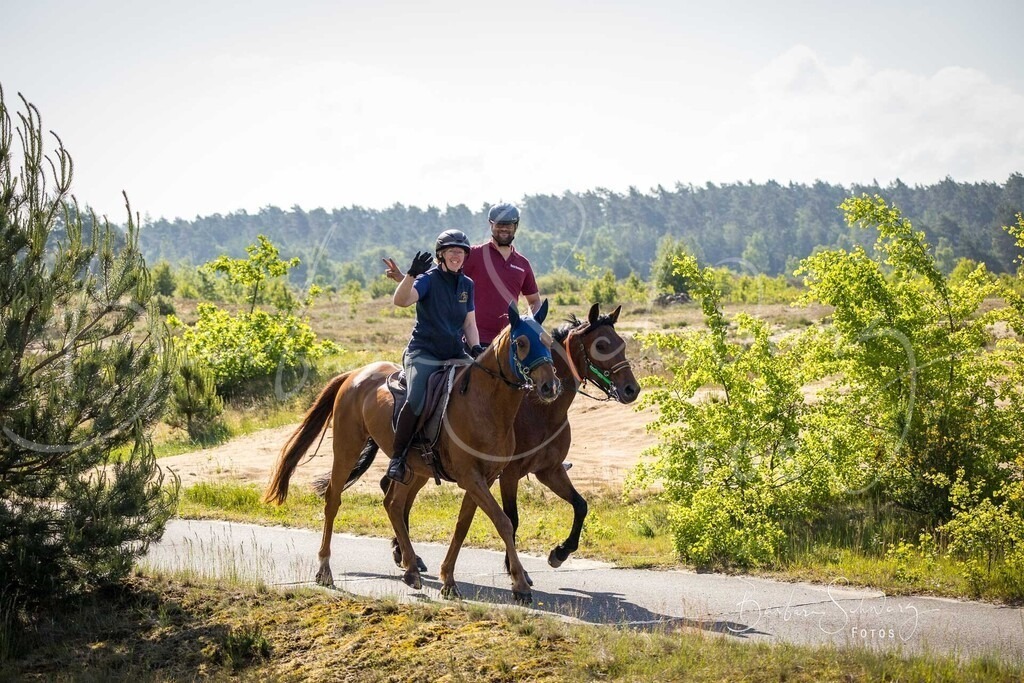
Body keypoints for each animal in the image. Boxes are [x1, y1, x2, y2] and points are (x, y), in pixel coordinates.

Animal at [264, 301, 560, 604]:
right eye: (521, 343)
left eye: (548, 341)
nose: (549, 386)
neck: (484, 403)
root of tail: (355, 374)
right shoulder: (470, 477)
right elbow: (503, 522)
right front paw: (520, 585)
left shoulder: (483, 479)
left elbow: (463, 525)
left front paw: (448, 579)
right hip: (347, 450)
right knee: (334, 500)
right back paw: (325, 568)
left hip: (414, 468)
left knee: (393, 504)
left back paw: (410, 570)